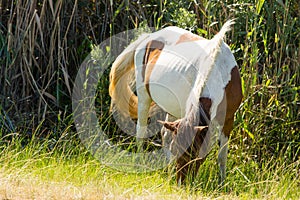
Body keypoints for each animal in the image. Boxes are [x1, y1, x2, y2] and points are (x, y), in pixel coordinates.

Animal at [109, 20, 243, 184]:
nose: (181, 184)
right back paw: (143, 164)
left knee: (165, 133)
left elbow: (222, 156)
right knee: (141, 132)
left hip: (171, 109)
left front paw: (222, 183)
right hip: (143, 97)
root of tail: (150, 37)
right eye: (176, 150)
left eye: (195, 155)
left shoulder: (228, 119)